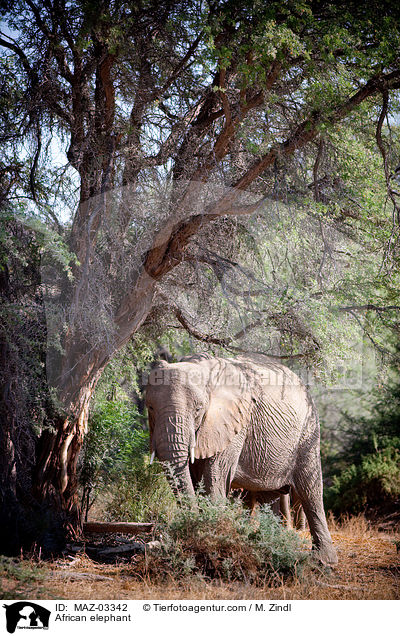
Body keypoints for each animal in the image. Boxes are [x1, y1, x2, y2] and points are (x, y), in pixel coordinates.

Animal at [145, 352, 336, 568]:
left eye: (198, 409)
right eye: (150, 407)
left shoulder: (233, 424)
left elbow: (214, 479)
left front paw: (212, 543)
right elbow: (195, 478)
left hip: (308, 431)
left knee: (310, 491)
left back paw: (323, 561)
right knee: (268, 496)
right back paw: (269, 546)